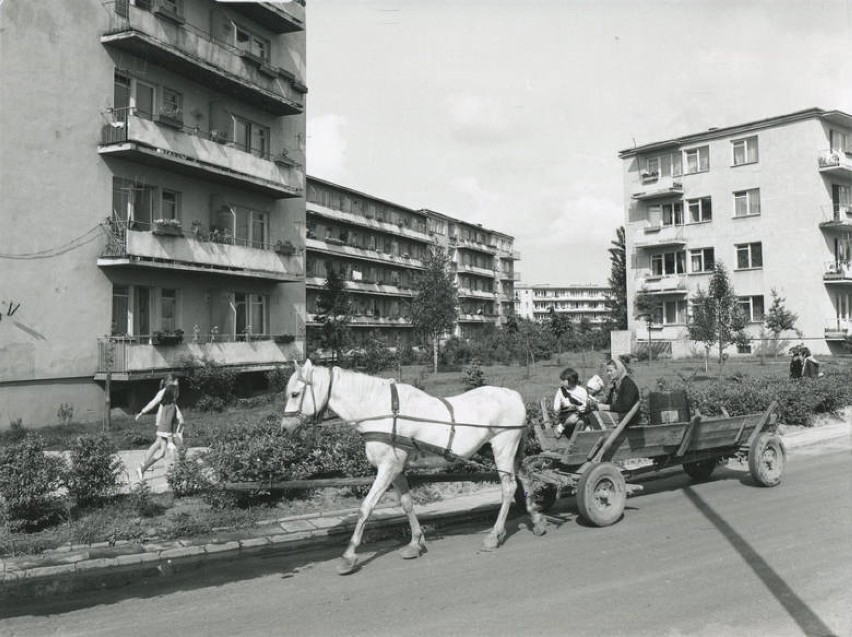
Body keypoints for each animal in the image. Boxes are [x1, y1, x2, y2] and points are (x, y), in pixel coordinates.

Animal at [280, 360, 544, 572]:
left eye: (294, 394)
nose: (285, 428)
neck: (381, 411)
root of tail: (515, 396)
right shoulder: (397, 469)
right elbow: (406, 503)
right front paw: (416, 543)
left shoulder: (387, 468)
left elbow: (366, 508)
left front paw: (348, 555)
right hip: (503, 452)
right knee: (523, 478)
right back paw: (536, 519)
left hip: (503, 447)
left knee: (508, 488)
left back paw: (494, 535)